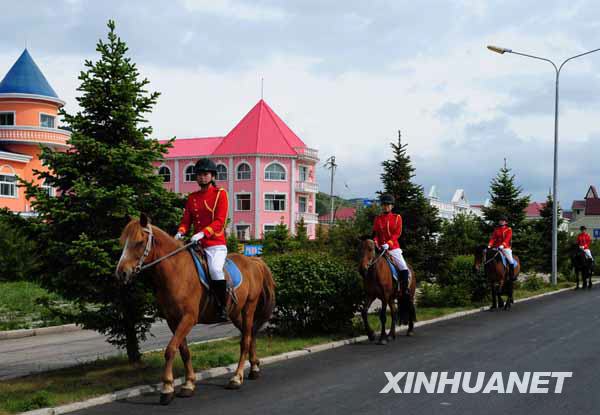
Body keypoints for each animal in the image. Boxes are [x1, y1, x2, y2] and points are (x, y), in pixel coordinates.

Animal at [115, 216, 276, 404]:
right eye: (123, 242)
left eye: (139, 242)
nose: (121, 273)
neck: (177, 271)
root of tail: (253, 261)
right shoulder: (173, 320)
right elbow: (184, 351)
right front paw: (188, 384)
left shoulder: (188, 318)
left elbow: (170, 350)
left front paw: (167, 388)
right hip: (236, 313)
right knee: (249, 336)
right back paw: (254, 368)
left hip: (248, 308)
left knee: (245, 340)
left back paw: (237, 377)